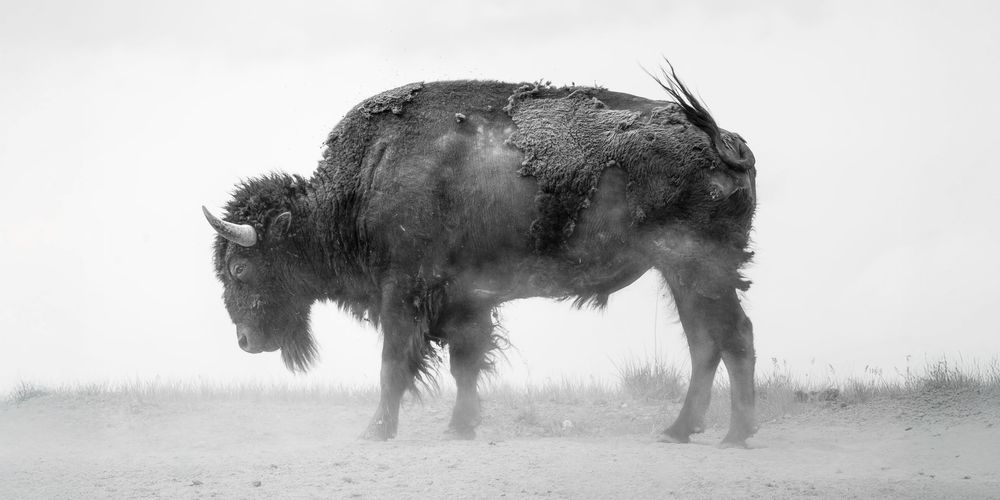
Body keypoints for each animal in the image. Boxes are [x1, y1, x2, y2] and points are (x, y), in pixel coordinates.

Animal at [203, 64, 758, 446]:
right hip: (681, 274)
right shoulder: (467, 301)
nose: (246, 341)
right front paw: (460, 427)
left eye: (239, 267)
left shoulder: (403, 294)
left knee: (732, 338)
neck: (366, 182)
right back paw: (681, 430)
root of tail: (724, 141)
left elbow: (393, 364)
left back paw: (734, 434)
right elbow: (464, 365)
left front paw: (375, 431)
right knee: (707, 343)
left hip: (698, 269)